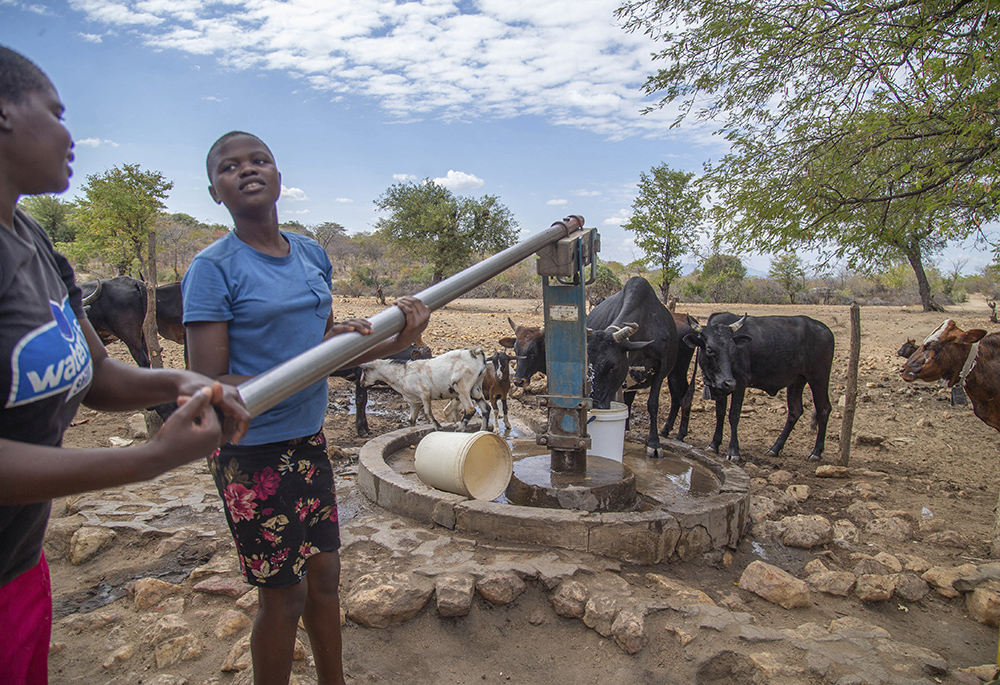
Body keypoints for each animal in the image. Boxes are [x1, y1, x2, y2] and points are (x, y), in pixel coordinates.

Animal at [360, 348, 488, 428]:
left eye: (365, 371)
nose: (361, 383)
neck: (402, 373)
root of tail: (476, 353)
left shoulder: (424, 394)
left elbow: (427, 412)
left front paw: (439, 427)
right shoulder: (414, 402)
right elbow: (411, 420)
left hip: (462, 387)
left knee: (470, 410)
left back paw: (459, 429)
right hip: (475, 388)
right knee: (486, 408)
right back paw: (482, 430)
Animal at [584, 276, 680, 456]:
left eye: (612, 367)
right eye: (587, 366)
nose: (595, 405)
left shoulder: (661, 368)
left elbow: (653, 404)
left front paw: (654, 443)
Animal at [684, 314, 832, 462]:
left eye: (733, 350)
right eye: (710, 350)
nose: (729, 382)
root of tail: (825, 329)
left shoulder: (740, 383)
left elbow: (734, 415)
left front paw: (734, 451)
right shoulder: (720, 387)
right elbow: (720, 413)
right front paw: (714, 444)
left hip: (818, 378)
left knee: (823, 409)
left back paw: (816, 452)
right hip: (797, 381)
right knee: (795, 411)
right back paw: (775, 448)